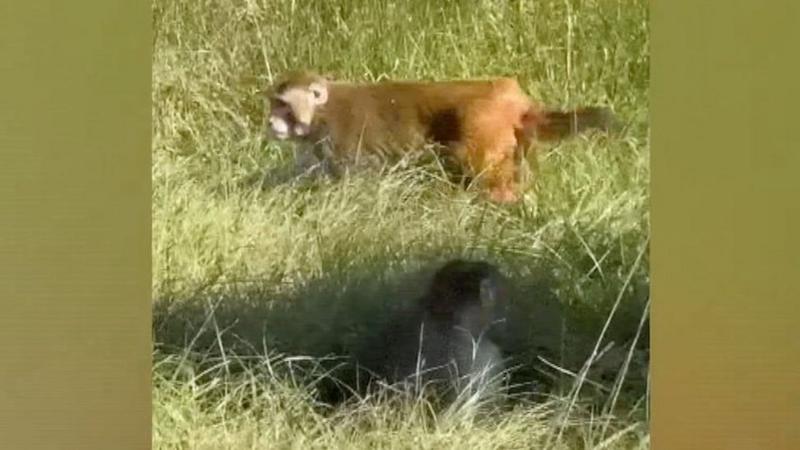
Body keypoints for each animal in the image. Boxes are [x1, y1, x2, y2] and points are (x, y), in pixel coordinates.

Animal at [265, 71, 617, 203]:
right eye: (274, 102)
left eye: (282, 105)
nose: (270, 121)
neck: (320, 112)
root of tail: (512, 97)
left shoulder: (339, 140)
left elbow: (358, 186)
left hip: (482, 126)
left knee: (472, 165)